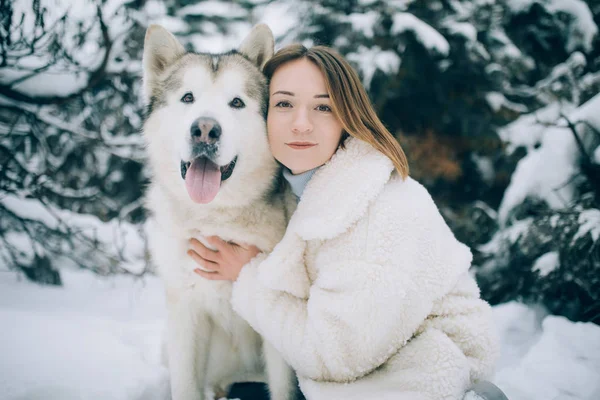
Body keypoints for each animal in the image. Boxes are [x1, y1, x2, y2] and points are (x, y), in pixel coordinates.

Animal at [144, 24, 298, 400]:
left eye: (237, 102)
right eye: (187, 98)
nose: (205, 129)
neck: (215, 217)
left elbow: (282, 386)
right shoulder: (185, 316)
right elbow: (186, 385)